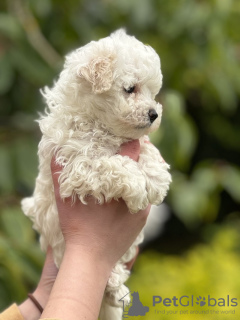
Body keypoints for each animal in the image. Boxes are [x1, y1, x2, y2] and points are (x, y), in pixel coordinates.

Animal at [20, 28, 171, 318]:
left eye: (152, 92)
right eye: (130, 89)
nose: (154, 114)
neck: (99, 124)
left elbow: (146, 147)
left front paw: (156, 178)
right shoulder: (77, 164)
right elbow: (112, 165)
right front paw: (138, 185)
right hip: (58, 240)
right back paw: (113, 283)